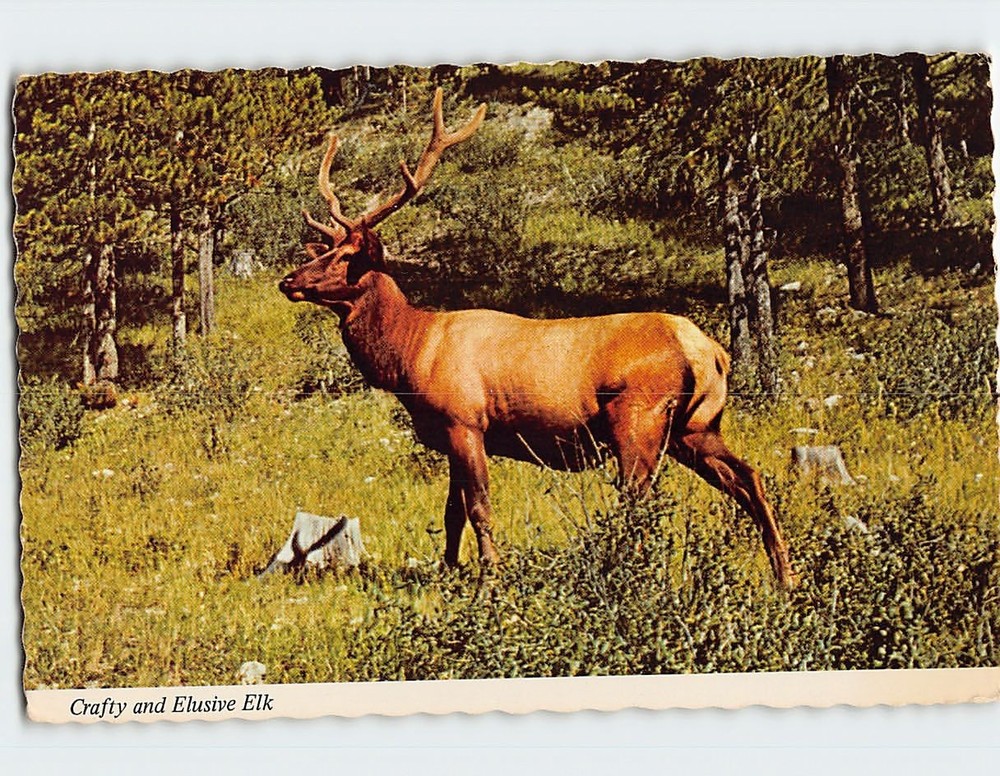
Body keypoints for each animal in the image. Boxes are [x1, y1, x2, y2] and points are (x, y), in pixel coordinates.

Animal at [278, 88, 796, 589]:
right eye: (323, 250)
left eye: (346, 256)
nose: (288, 281)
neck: (411, 354)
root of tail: (711, 352)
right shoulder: (449, 434)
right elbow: (451, 515)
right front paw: (450, 574)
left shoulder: (465, 421)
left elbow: (479, 508)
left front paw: (489, 580)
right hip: (697, 427)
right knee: (749, 477)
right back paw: (783, 577)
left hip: (639, 418)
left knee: (640, 503)